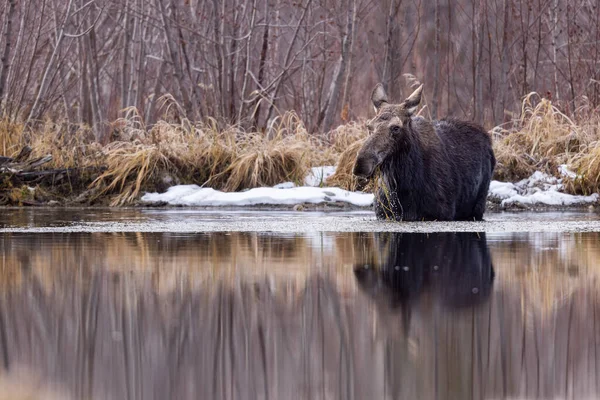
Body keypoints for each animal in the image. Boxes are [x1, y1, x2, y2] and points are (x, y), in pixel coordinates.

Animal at [354, 83, 494, 222]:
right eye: (369, 126)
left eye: (396, 127)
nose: (361, 164)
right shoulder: (384, 215)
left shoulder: (439, 214)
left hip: (477, 207)